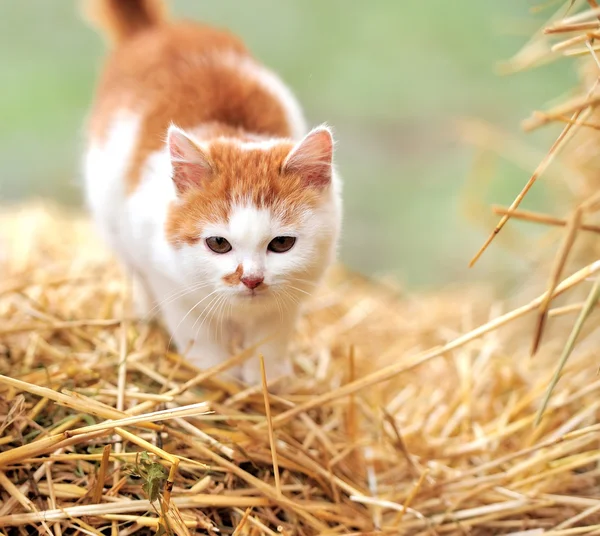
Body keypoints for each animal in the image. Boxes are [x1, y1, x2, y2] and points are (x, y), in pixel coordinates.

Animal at [82, 1, 342, 386]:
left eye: (281, 243)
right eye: (218, 243)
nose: (251, 279)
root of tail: (157, 32)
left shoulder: (291, 295)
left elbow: (271, 336)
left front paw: (267, 378)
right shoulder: (169, 279)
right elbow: (198, 333)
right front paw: (217, 376)